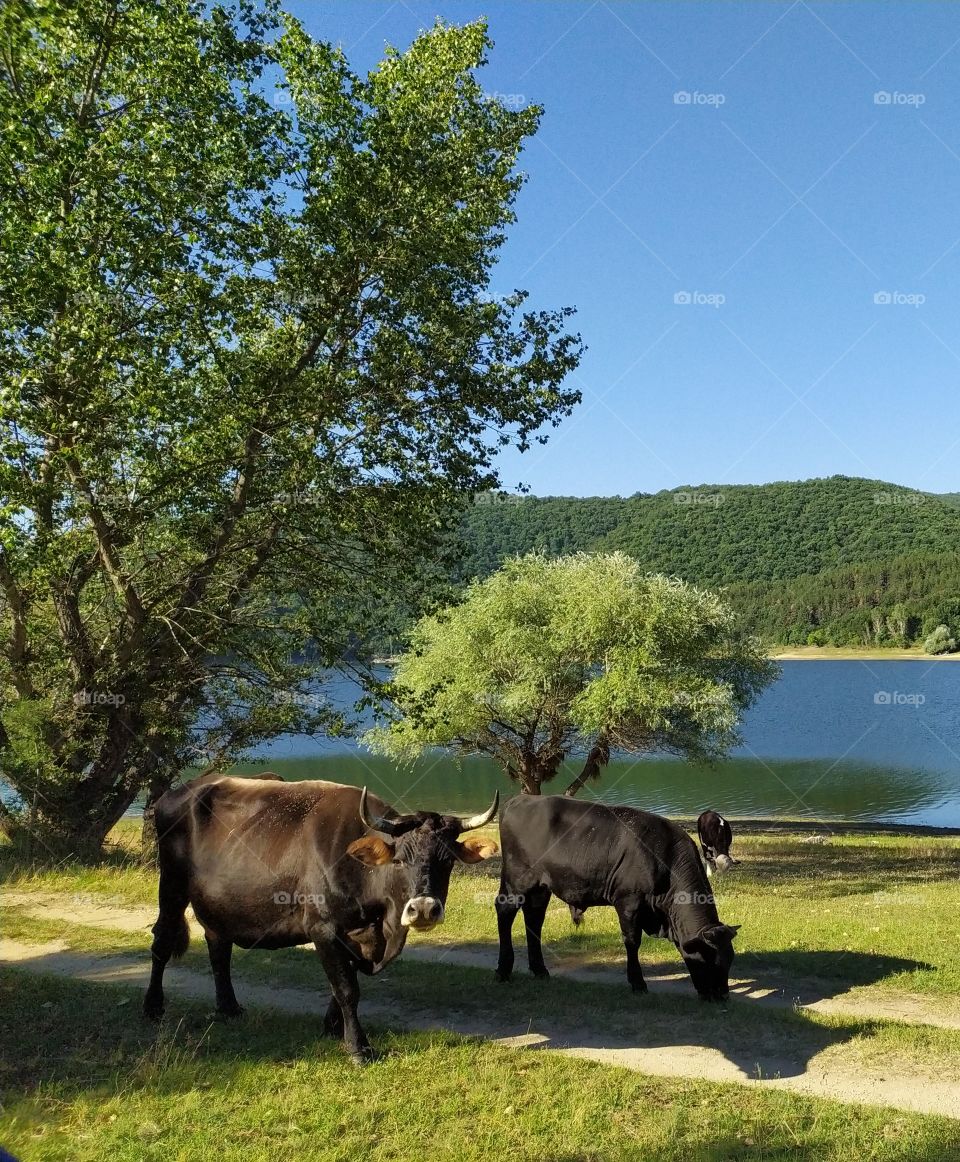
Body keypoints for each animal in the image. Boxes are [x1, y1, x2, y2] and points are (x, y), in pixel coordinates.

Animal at [143, 774, 499, 1062]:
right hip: (171, 885)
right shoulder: (323, 929)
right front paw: (358, 1047)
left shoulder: (356, 933)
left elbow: (342, 982)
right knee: (162, 940)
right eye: (399, 859)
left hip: (218, 903)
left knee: (218, 947)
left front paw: (332, 1027)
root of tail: (181, 791)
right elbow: (346, 988)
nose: (423, 908)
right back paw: (153, 1007)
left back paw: (228, 1007)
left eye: (448, 860)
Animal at [494, 795, 739, 1001]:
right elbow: (632, 941)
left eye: (730, 959)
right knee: (505, 911)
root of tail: (518, 799)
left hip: (540, 888)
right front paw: (638, 983)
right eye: (709, 959)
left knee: (534, 918)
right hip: (517, 880)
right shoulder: (629, 901)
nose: (722, 996)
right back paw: (504, 970)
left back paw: (539, 969)